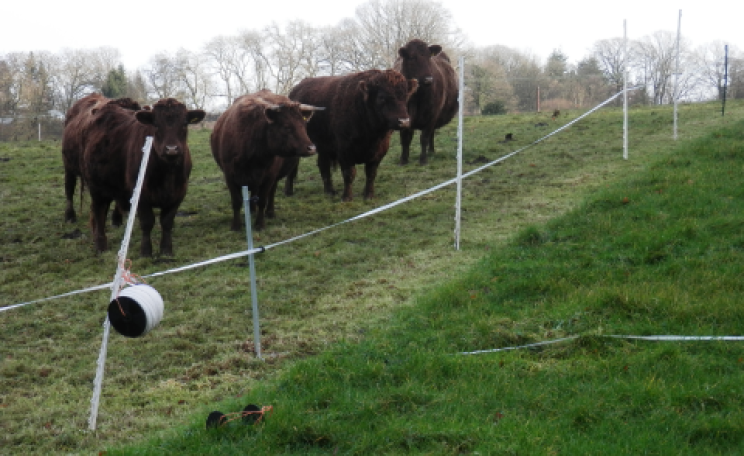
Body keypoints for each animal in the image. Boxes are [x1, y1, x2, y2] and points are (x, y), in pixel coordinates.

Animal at [81, 98, 205, 257]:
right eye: (156, 124)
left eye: (184, 123)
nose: (171, 149)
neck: (167, 174)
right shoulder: (140, 195)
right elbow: (147, 222)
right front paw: (146, 251)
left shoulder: (178, 194)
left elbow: (167, 222)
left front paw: (166, 251)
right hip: (96, 187)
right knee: (99, 212)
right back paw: (101, 246)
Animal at [210, 90, 321, 231]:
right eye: (286, 126)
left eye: (303, 125)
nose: (312, 148)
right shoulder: (229, 175)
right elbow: (236, 201)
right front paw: (236, 225)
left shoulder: (269, 176)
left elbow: (263, 199)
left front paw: (260, 224)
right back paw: (252, 210)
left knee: (270, 193)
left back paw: (270, 212)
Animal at [288, 69, 418, 202]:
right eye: (381, 97)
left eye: (405, 96)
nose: (404, 121)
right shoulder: (344, 152)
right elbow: (349, 174)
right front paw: (347, 197)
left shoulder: (379, 152)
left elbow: (371, 173)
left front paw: (369, 195)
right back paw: (289, 192)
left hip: (323, 148)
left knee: (323, 165)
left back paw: (330, 191)